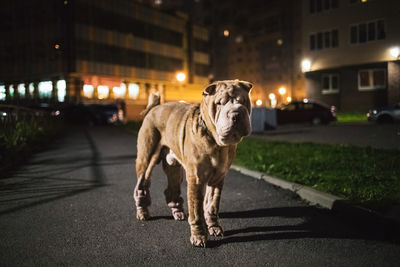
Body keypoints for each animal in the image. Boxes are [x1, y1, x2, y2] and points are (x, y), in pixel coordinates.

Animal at [134, 80, 253, 249]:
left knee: (171, 189)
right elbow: (196, 210)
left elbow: (211, 205)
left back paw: (177, 211)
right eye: (220, 103)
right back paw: (142, 212)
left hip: (174, 169)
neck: (216, 143)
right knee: (141, 186)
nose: (236, 113)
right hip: (146, 160)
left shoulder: (218, 179)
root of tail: (155, 108)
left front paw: (214, 227)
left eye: (242, 101)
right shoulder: (196, 179)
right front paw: (199, 237)